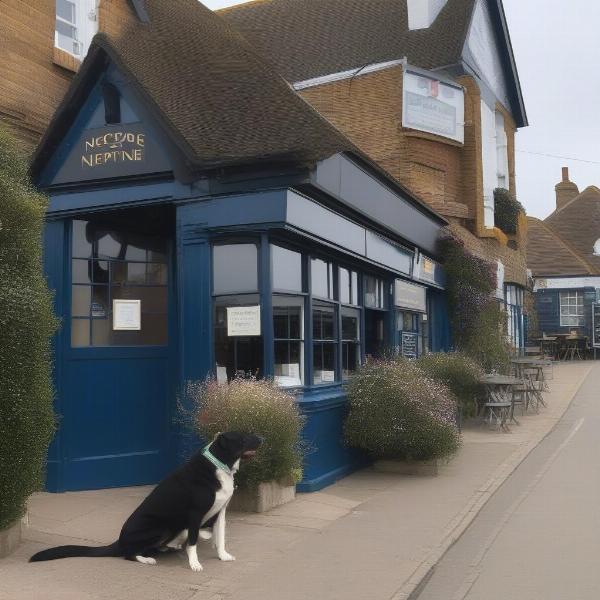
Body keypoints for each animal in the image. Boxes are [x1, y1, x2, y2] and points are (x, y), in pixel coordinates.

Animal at [29, 432, 260, 572]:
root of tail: (120, 541)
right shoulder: (194, 515)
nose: (262, 437)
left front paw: (223, 555)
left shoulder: (220, 512)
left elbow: (220, 538)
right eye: (242, 438)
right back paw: (147, 558)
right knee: (129, 554)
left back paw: (167, 548)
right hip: (160, 528)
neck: (219, 467)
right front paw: (194, 564)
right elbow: (193, 543)